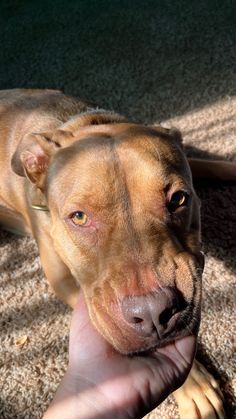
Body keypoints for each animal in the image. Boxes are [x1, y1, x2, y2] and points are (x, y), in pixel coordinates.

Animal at [0, 88, 234, 416]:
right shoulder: (65, 283)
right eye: (79, 217)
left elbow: (214, 164)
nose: (152, 312)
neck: (85, 122)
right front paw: (195, 385)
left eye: (179, 198)